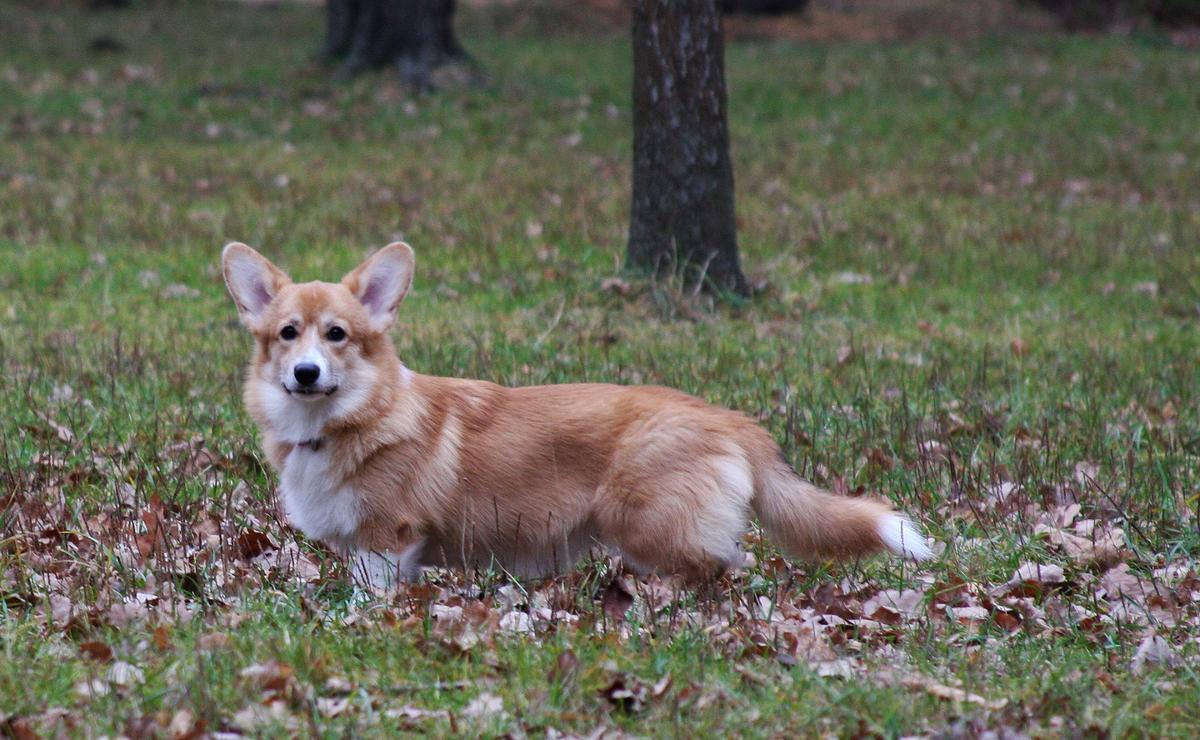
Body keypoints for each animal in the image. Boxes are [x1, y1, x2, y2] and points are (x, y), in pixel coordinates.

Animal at [225, 242, 931, 587]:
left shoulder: (385, 540)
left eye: (337, 335)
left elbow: (371, 597)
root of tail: (733, 421)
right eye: (288, 334)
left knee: (722, 568)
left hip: (644, 522)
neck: (348, 422)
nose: (306, 374)